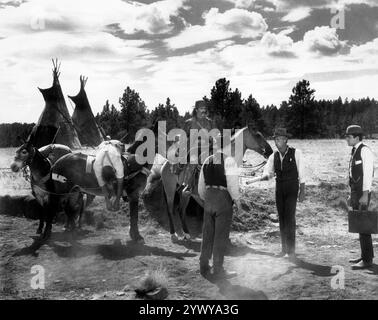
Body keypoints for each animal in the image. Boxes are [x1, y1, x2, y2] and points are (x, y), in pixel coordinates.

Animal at [146, 126, 274, 241]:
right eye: (258, 135)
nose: (270, 151)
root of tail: (166, 163)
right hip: (170, 189)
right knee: (170, 209)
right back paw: (174, 234)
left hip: (186, 193)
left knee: (181, 210)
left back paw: (186, 234)